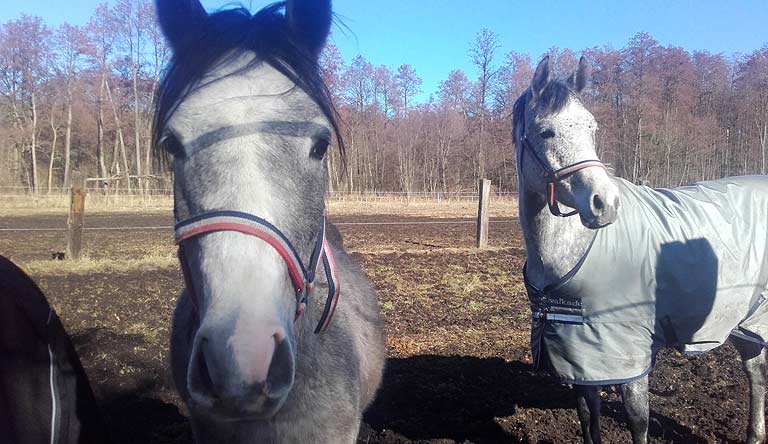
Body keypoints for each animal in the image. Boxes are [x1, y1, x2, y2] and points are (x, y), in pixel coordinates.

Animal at [512, 56, 768, 444]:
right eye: (546, 132)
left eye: (592, 129)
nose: (605, 204)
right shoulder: (580, 354)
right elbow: (587, 415)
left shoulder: (629, 354)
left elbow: (638, 421)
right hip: (743, 318)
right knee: (755, 371)